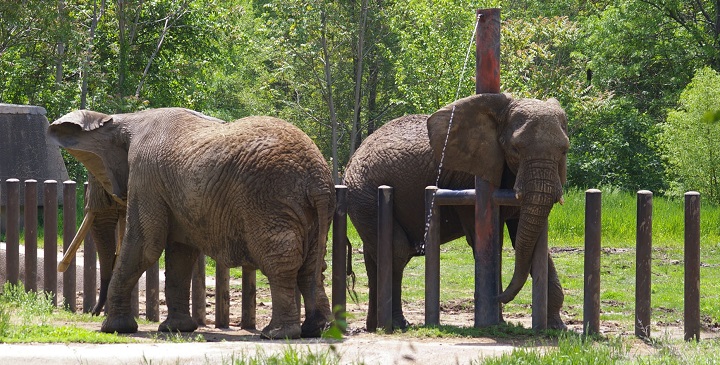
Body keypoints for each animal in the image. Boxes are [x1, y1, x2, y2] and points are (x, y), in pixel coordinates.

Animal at [47, 108, 334, 338]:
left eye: (97, 177)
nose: (92, 314)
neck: (126, 119)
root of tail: (318, 180)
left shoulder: (145, 176)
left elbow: (144, 246)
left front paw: (114, 329)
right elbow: (180, 255)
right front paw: (176, 329)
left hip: (268, 201)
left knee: (280, 264)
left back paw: (276, 334)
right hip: (308, 211)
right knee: (312, 267)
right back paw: (318, 330)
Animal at [344, 92, 568, 332]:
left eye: (564, 150)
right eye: (515, 149)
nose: (499, 296)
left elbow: (523, 238)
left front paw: (557, 327)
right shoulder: (469, 175)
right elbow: (489, 240)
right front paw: (497, 322)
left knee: (375, 255)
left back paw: (373, 326)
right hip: (363, 194)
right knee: (397, 250)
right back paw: (397, 324)